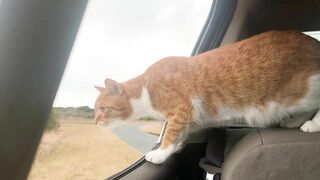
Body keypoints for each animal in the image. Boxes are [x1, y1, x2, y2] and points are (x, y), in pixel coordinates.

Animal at [93, 31, 320, 165]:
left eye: (103, 109)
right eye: (95, 110)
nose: (95, 122)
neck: (144, 89)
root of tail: (314, 41)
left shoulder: (180, 109)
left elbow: (170, 132)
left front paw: (160, 153)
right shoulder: (189, 117)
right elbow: (180, 133)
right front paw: (175, 147)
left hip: (304, 88)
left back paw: (313, 124)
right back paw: (294, 121)